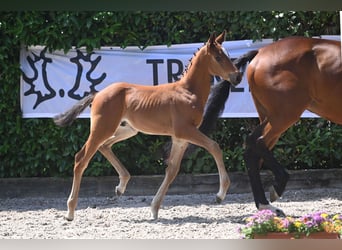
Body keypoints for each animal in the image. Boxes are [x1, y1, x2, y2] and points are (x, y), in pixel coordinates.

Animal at [52, 30, 243, 221]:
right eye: (218, 57)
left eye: (228, 55)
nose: (237, 76)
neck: (188, 91)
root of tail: (98, 94)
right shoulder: (186, 131)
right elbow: (214, 147)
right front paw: (220, 194)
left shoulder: (179, 138)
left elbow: (172, 170)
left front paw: (154, 208)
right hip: (102, 128)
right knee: (81, 158)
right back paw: (70, 211)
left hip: (127, 130)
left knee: (104, 146)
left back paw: (121, 186)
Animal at [200, 36, 342, 216]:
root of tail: (261, 52)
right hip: (284, 115)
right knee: (255, 142)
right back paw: (277, 187)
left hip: (271, 117)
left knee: (253, 150)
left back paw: (265, 205)